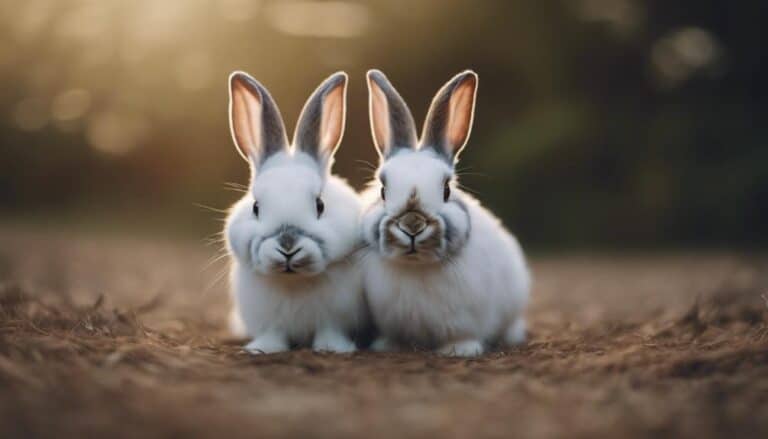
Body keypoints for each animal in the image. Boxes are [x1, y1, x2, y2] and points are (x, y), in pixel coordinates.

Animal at [224, 70, 365, 354]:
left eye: (320, 205)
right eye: (256, 207)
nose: (287, 246)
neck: (294, 282)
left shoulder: (335, 318)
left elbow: (330, 332)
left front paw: (332, 349)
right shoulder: (269, 321)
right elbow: (273, 335)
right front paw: (263, 349)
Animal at [359, 69, 531, 357]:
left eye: (447, 190)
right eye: (383, 191)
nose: (412, 225)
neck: (416, 267)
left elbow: (463, 336)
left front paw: (460, 351)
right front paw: (387, 347)